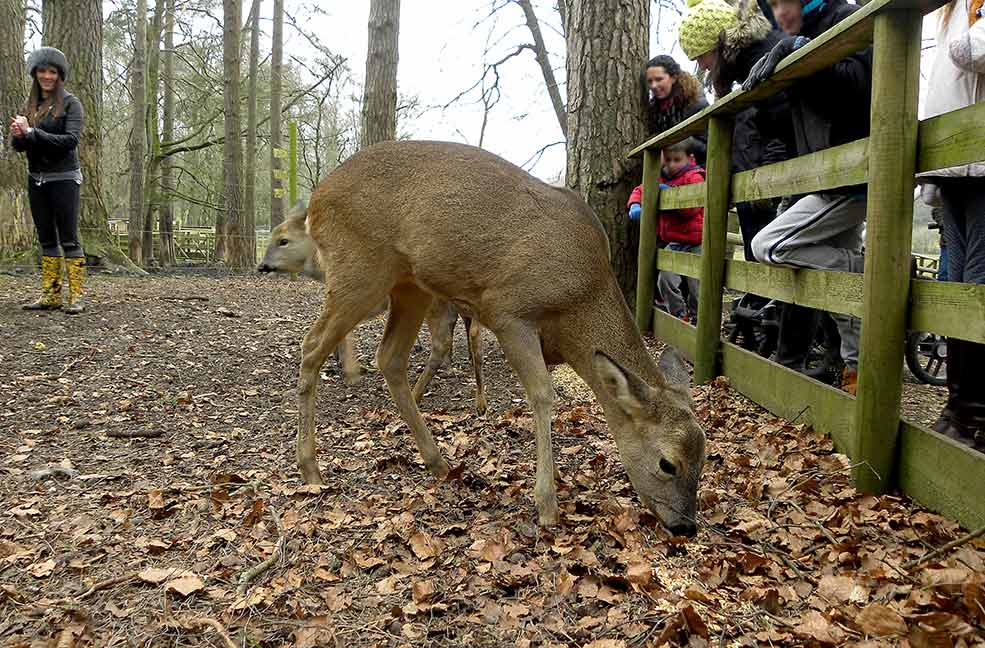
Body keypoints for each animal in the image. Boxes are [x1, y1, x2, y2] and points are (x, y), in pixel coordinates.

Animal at [296, 139, 704, 536]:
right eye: (668, 463)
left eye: (703, 456)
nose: (686, 527)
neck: (579, 299)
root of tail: (316, 200)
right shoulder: (509, 311)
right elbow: (542, 394)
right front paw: (547, 504)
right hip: (359, 268)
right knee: (312, 346)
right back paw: (310, 468)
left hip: (409, 285)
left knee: (390, 357)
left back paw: (437, 461)